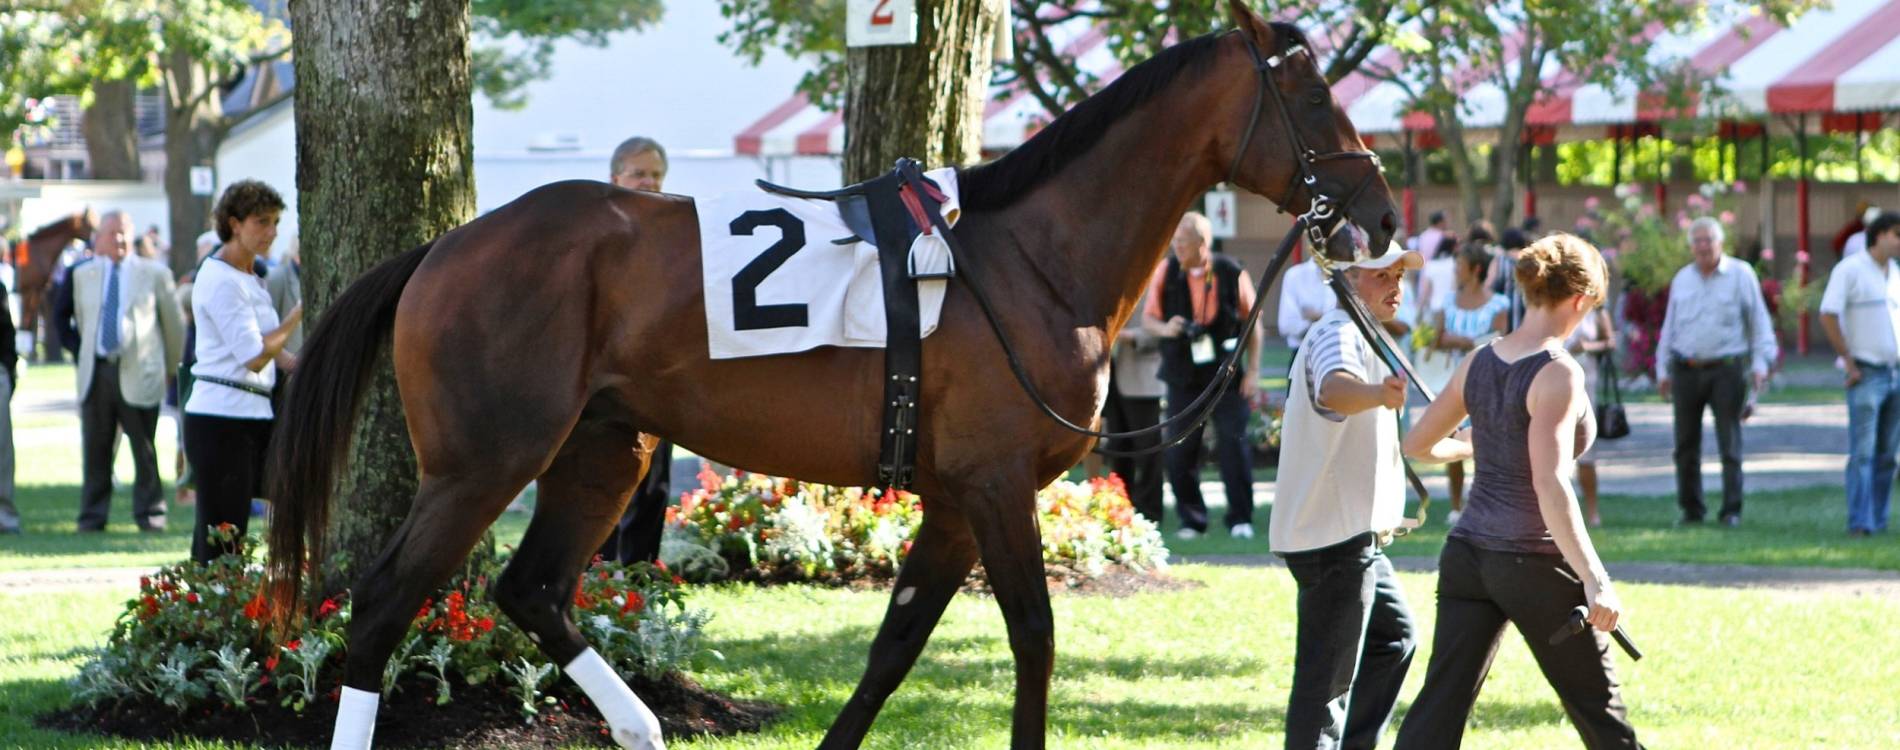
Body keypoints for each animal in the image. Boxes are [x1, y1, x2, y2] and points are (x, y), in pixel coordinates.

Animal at [12, 211, 94, 362]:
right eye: (90, 225)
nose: (91, 246)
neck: (38, 252)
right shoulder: (30, 290)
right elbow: (27, 320)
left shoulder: (37, 290)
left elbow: (32, 321)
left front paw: (31, 353)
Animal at [265, 2, 1399, 748]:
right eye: (1310, 91)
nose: (1382, 213)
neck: (1025, 257)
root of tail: (445, 248)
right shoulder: (994, 485)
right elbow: (1033, 637)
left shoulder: (955, 499)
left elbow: (893, 646)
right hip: (482, 463)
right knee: (381, 607)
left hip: (602, 451)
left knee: (530, 587)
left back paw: (642, 728)